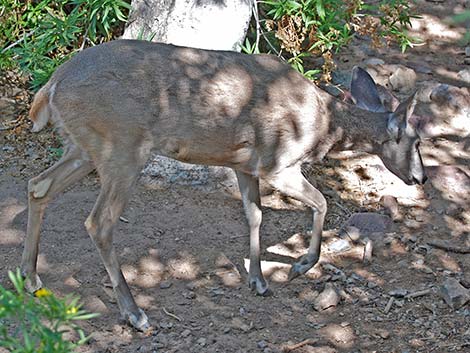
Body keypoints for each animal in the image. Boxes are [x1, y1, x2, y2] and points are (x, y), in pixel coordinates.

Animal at [20, 40, 428, 332]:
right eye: (417, 140)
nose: (422, 178)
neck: (325, 127)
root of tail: (50, 87)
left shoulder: (245, 166)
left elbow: (255, 215)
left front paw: (257, 280)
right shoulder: (278, 164)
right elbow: (321, 202)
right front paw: (301, 264)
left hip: (84, 147)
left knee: (38, 186)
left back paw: (30, 278)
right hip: (121, 147)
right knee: (98, 222)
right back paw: (135, 314)